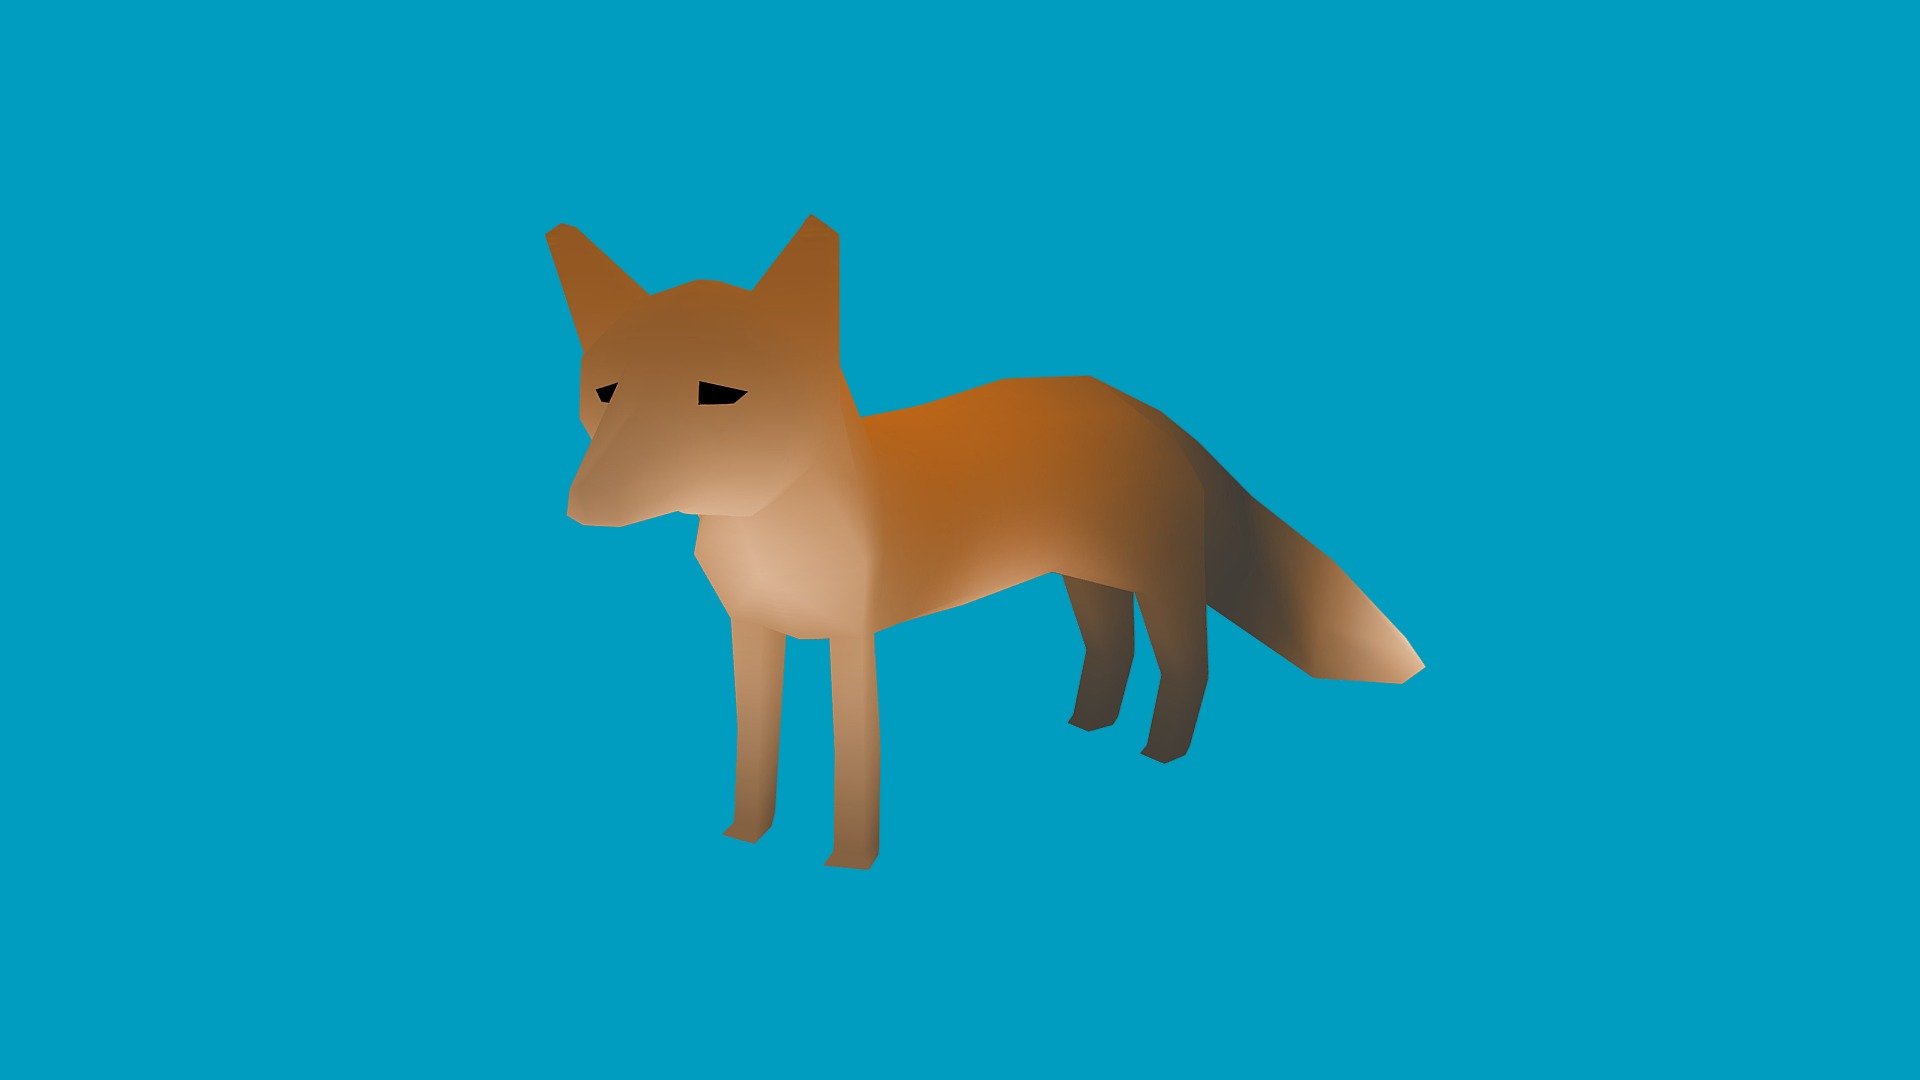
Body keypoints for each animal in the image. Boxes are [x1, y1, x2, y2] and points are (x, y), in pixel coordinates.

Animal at [550, 216, 1421, 869]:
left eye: (719, 394)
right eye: (605, 393)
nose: (583, 506)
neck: (772, 533)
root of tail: (1145, 409)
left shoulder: (851, 637)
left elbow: (854, 762)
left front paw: (849, 860)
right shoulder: (753, 630)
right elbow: (755, 751)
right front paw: (745, 837)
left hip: (1163, 585)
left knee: (1188, 667)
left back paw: (1158, 755)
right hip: (1085, 580)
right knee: (1113, 648)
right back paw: (1087, 727)